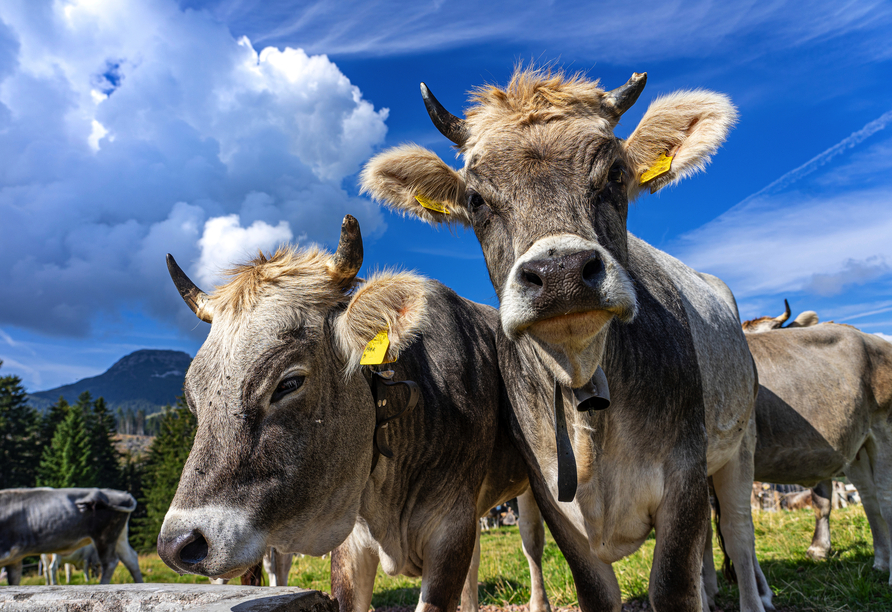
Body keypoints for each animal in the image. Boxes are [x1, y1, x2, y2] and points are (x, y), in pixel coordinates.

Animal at [0, 488, 143, 584]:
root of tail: (125, 495)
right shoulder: (14, 559)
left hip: (104, 535)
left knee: (110, 562)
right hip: (119, 535)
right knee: (130, 559)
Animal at [156, 216, 540, 612]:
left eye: (289, 382)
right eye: (192, 397)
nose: (178, 544)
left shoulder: (452, 527)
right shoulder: (352, 541)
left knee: (531, 543)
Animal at [358, 67, 772, 612]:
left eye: (615, 175)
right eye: (475, 200)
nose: (561, 274)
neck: (585, 389)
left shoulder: (684, 475)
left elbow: (674, 586)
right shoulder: (551, 496)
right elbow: (595, 591)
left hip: (739, 444)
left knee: (741, 535)